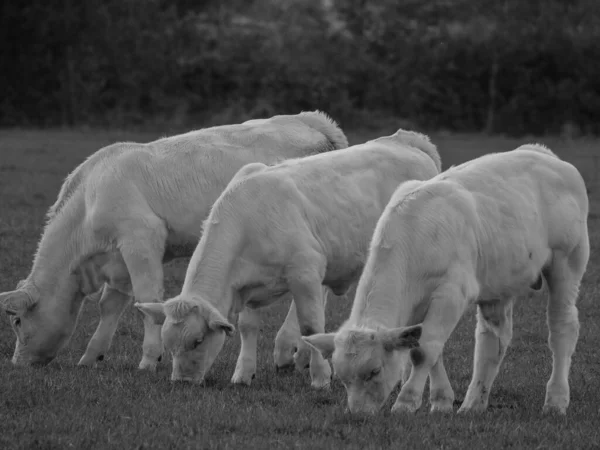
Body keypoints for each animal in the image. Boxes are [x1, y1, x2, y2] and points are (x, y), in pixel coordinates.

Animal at [0, 111, 346, 370]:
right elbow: (111, 305)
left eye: (16, 321)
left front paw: (149, 359)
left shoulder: (141, 239)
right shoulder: (119, 259)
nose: (18, 363)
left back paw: (290, 351)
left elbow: (146, 300)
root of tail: (310, 119)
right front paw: (91, 355)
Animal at [137, 129, 446, 386]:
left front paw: (321, 378)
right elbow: (248, 327)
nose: (181, 381)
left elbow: (311, 327)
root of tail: (406, 139)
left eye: (198, 340)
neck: (248, 219)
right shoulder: (251, 285)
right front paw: (243, 373)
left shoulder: (304, 271)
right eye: (168, 345)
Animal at [308, 144, 588, 414]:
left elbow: (424, 351)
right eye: (342, 378)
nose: (358, 413)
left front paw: (407, 401)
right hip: (498, 284)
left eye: (375, 370)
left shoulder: (452, 293)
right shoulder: (417, 305)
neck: (414, 236)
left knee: (562, 327)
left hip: (567, 262)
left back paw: (556, 400)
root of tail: (545, 154)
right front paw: (441, 400)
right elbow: (430, 348)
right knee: (493, 339)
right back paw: (472, 404)